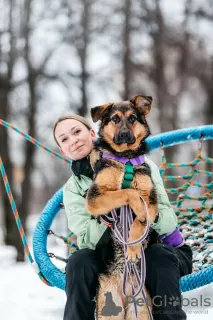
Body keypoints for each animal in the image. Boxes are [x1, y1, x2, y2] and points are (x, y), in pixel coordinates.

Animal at [85, 95, 158, 320]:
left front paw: (133, 247)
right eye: (115, 119)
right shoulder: (95, 197)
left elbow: (140, 222)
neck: (125, 159)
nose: (125, 134)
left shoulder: (151, 201)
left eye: (133, 118)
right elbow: (126, 193)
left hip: (141, 310)